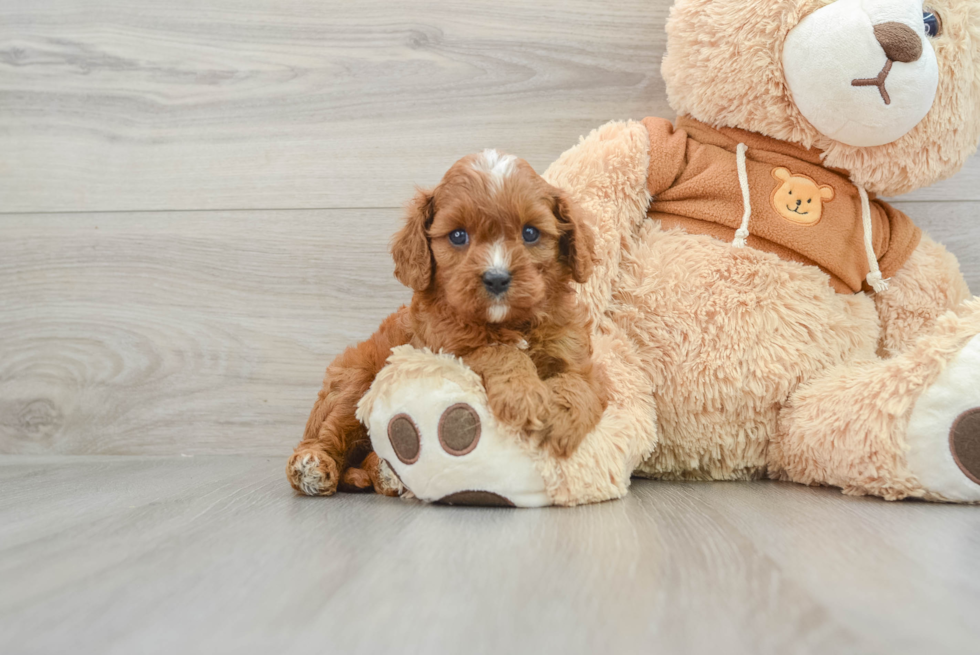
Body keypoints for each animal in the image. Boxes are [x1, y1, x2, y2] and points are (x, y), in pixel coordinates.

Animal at [284, 150, 604, 498]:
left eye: (530, 233)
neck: (509, 322)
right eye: (458, 236)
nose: (496, 278)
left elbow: (579, 384)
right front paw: (524, 396)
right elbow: (498, 351)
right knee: (327, 432)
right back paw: (313, 466)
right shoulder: (445, 347)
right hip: (355, 381)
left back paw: (385, 473)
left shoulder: (577, 355)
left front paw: (558, 419)